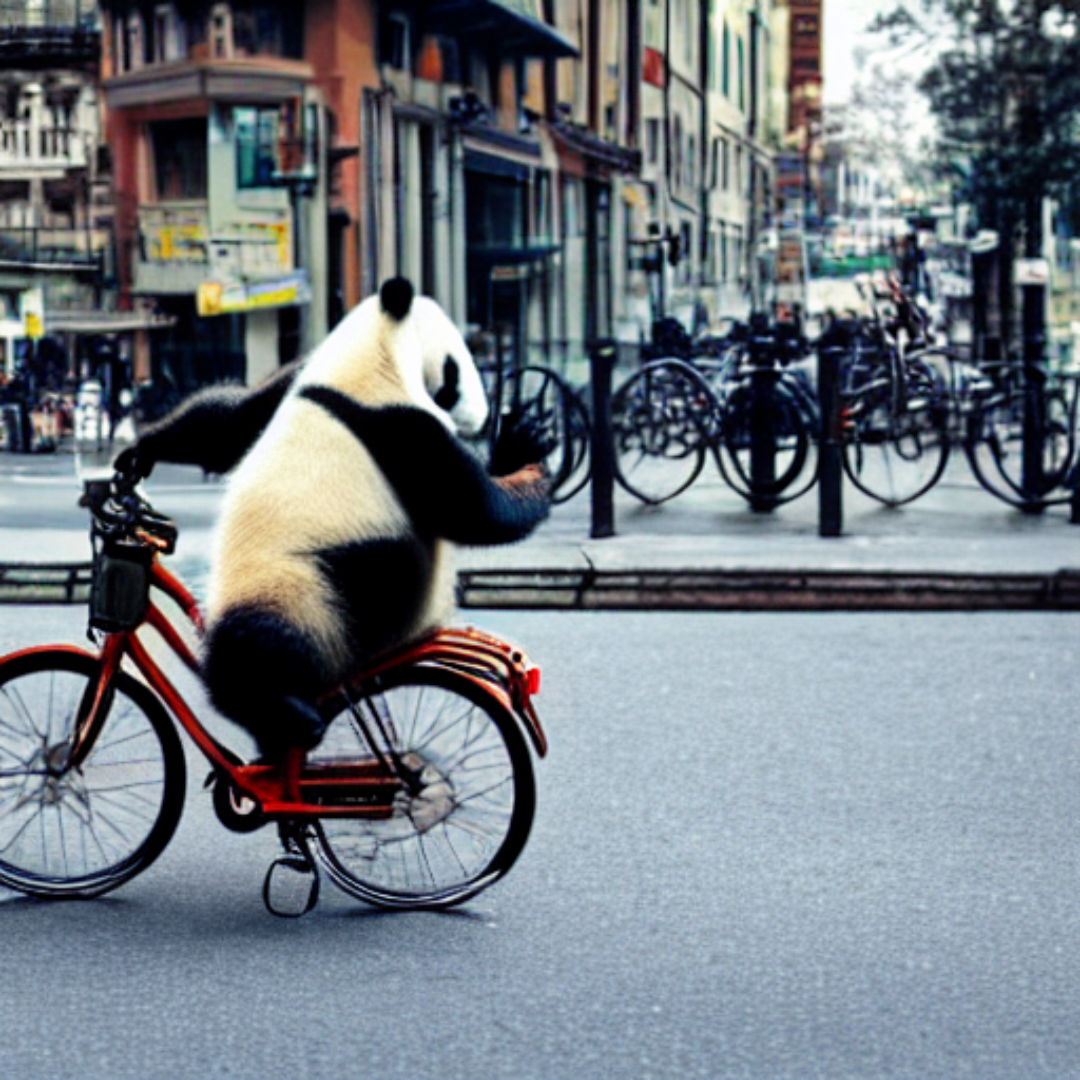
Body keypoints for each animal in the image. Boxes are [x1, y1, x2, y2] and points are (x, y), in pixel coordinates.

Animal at [199, 277, 551, 760]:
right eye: (454, 370)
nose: (481, 416)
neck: (371, 354)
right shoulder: (395, 425)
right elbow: (472, 511)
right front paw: (525, 449)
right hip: (300, 585)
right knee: (254, 646)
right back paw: (283, 710)